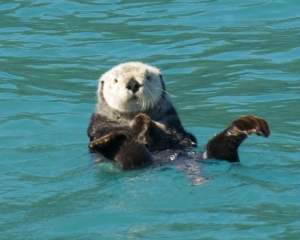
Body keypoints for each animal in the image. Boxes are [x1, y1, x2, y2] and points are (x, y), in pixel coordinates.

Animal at [86, 62, 270, 171]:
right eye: (116, 80)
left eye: (148, 77)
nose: (132, 83)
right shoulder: (100, 125)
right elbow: (109, 131)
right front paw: (141, 124)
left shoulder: (172, 122)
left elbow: (175, 137)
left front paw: (146, 125)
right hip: (134, 160)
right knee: (132, 155)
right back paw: (112, 141)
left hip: (209, 154)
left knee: (221, 149)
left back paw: (247, 125)